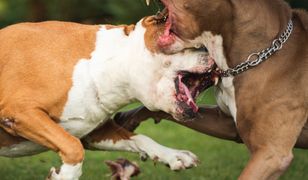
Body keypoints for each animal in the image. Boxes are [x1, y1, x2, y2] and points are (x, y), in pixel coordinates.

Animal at [0, 14, 217, 179]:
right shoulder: (20, 111)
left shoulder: (93, 132)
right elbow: (73, 147)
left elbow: (140, 138)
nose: (215, 59)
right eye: (199, 47)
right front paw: (65, 175)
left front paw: (173, 155)